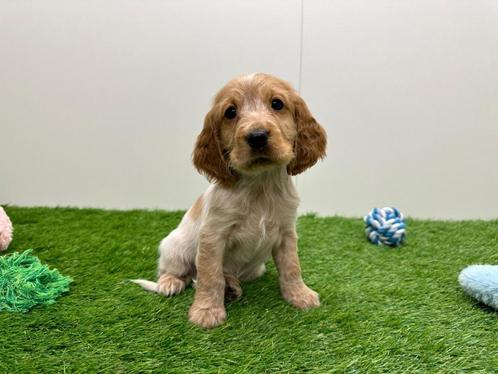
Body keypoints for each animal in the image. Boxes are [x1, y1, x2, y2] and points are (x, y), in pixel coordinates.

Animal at [132, 72, 326, 328]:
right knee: (179, 272)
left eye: (277, 104)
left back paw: (231, 286)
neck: (259, 185)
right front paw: (206, 311)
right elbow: (209, 275)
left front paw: (300, 295)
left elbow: (292, 267)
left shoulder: (286, 232)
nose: (257, 137)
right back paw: (171, 283)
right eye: (231, 112)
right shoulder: (213, 236)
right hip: (174, 246)